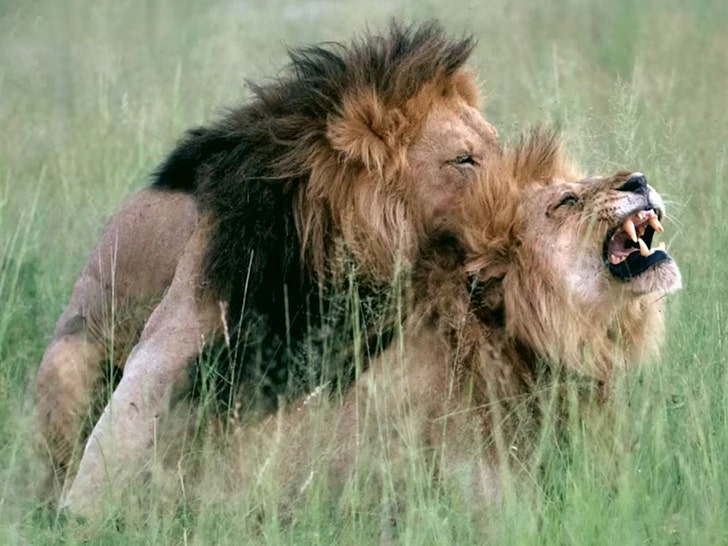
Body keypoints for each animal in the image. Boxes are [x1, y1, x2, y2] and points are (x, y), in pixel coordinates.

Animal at [34, 22, 499, 516]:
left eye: (497, 143)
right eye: (463, 159)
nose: (534, 195)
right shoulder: (187, 325)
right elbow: (125, 434)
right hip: (66, 361)